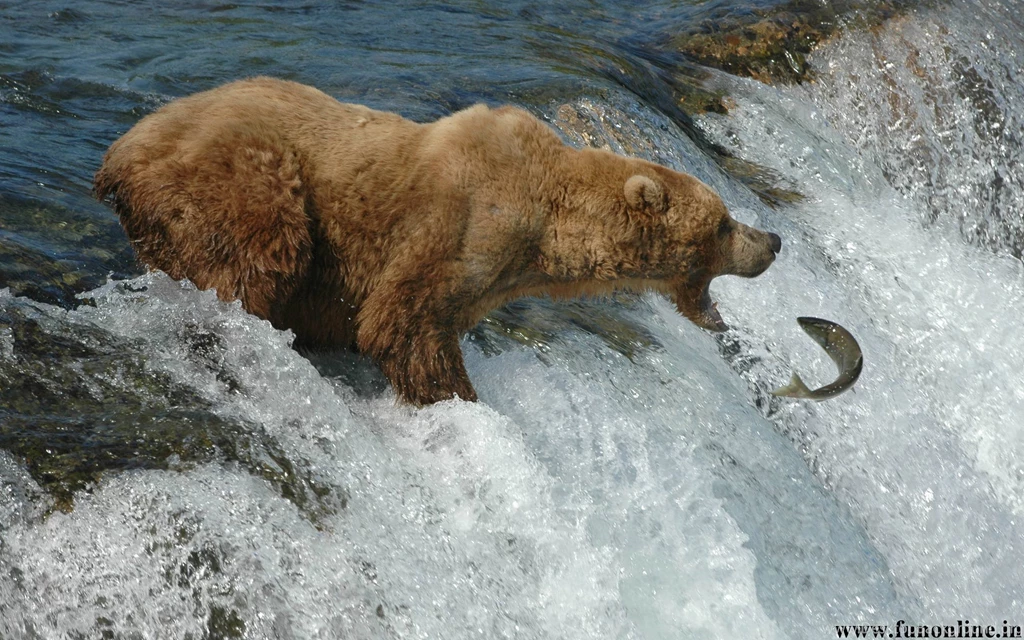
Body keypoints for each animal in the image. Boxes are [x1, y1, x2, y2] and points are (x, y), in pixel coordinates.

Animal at [94, 77, 781, 405]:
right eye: (724, 223)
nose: (772, 239)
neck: (546, 228)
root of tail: (118, 153)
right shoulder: (459, 227)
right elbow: (403, 321)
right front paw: (456, 398)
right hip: (242, 176)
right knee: (263, 253)